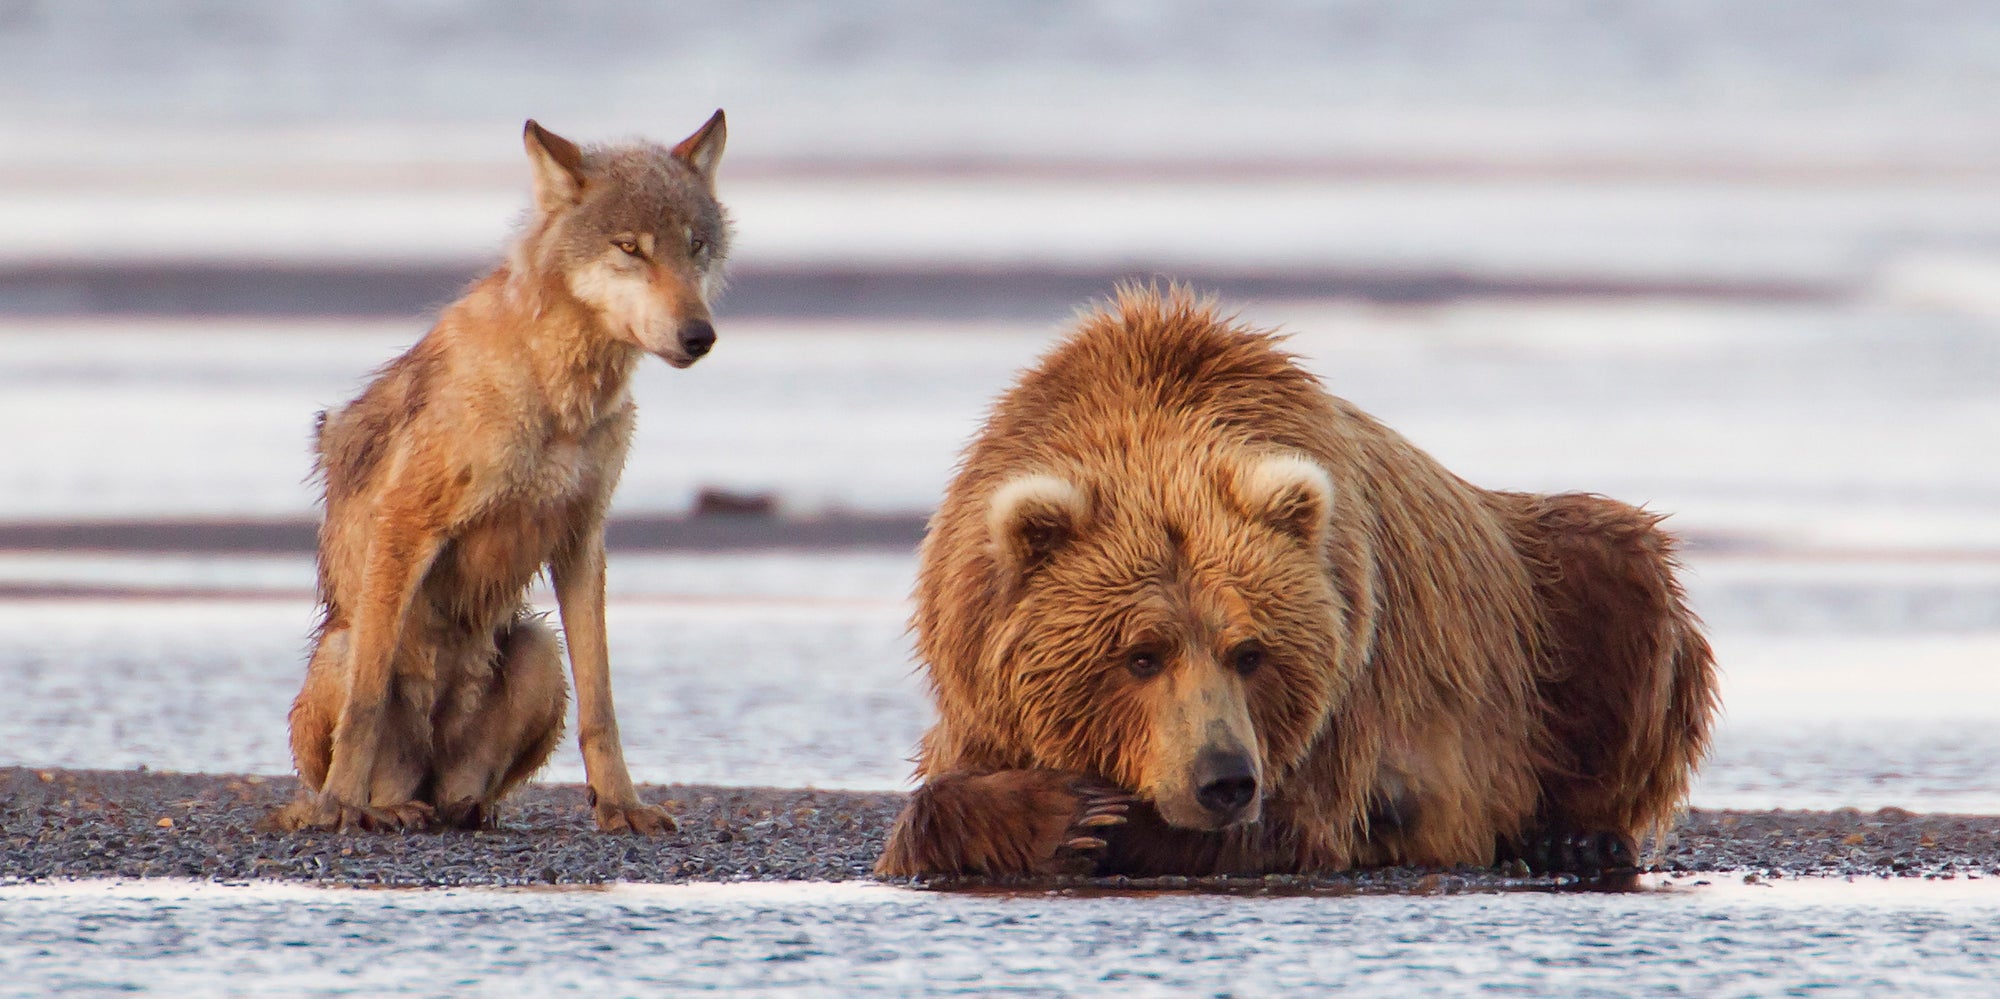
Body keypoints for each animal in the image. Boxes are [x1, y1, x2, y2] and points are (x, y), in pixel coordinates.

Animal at [271, 111, 730, 834]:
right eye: (631, 248)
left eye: (697, 247)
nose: (698, 335)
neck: (559, 395)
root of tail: (429, 781)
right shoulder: (406, 522)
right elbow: (366, 704)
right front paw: (340, 805)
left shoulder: (582, 538)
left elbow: (603, 706)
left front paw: (621, 805)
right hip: (343, 646)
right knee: (374, 737)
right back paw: (374, 806)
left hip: (540, 648)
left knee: (467, 791)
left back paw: (465, 806)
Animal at [875, 286, 1718, 879]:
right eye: (1140, 654)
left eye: (1251, 652)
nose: (1224, 779)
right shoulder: (978, 672)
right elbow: (929, 806)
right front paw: (1063, 812)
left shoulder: (1346, 693)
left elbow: (1292, 825)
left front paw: (1106, 819)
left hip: (1544, 603)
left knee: (1622, 576)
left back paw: (1574, 837)